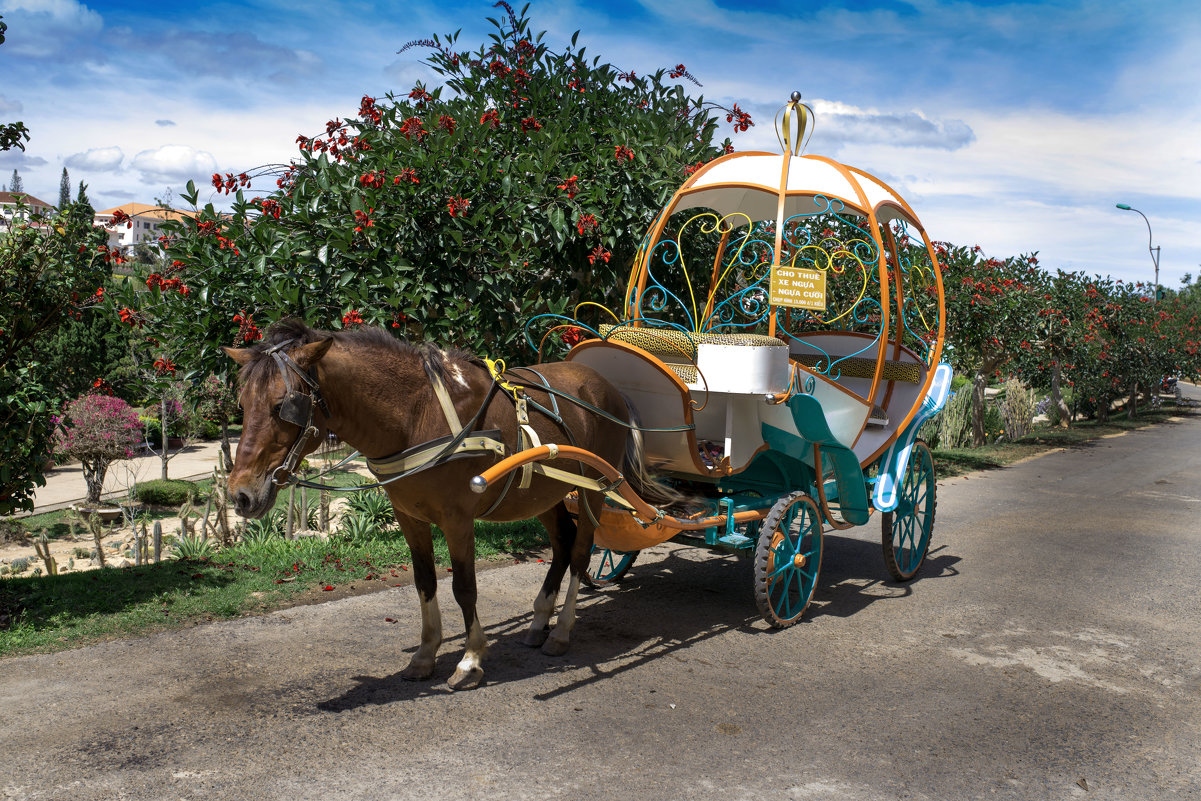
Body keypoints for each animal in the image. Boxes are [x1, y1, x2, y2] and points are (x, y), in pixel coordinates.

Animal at [225, 319, 658, 691]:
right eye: (242, 403)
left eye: (283, 405)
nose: (240, 494)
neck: (415, 415)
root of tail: (608, 388)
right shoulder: (410, 517)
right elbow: (425, 582)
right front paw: (425, 654)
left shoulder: (457, 519)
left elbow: (464, 587)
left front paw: (470, 660)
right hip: (545, 492)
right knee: (563, 544)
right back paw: (539, 622)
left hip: (594, 488)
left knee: (582, 553)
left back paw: (563, 629)